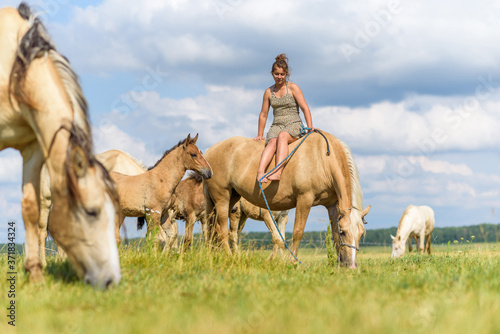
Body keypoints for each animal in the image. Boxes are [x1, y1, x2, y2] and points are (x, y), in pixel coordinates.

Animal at [203, 134, 372, 268]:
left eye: (362, 234)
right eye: (345, 232)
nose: (351, 265)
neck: (323, 159)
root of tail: (209, 151)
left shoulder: (332, 205)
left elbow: (334, 234)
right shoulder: (304, 199)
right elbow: (297, 232)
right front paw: (292, 261)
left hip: (232, 198)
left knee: (215, 229)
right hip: (222, 198)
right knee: (223, 230)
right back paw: (229, 257)